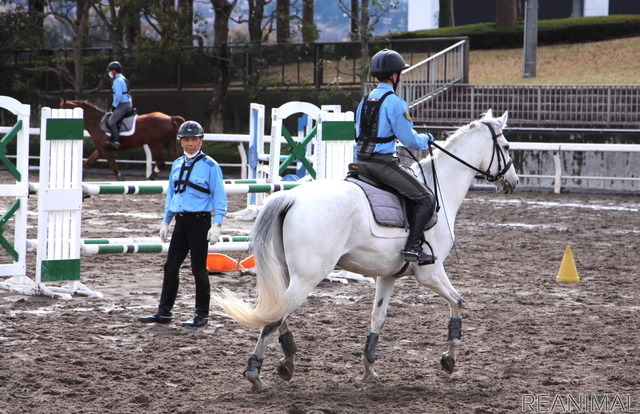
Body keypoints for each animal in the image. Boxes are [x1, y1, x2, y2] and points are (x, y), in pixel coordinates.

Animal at [215, 109, 520, 392]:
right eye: (506, 147)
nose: (513, 183)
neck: (441, 186)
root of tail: (290, 196)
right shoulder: (431, 273)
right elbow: (458, 301)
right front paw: (449, 359)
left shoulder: (387, 276)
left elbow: (378, 317)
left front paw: (369, 369)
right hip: (307, 278)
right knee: (275, 317)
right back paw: (255, 374)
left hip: (286, 273)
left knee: (277, 313)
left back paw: (287, 360)